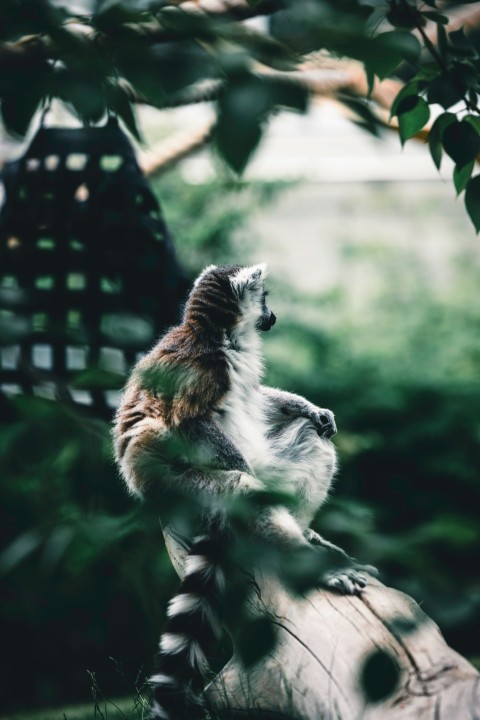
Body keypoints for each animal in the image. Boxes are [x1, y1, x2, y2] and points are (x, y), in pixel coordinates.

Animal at [113, 263, 368, 720]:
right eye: (264, 298)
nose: (273, 316)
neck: (221, 337)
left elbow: (260, 398)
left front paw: (309, 407)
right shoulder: (202, 371)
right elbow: (189, 421)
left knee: (312, 441)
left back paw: (306, 530)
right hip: (185, 482)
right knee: (246, 491)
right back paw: (312, 560)